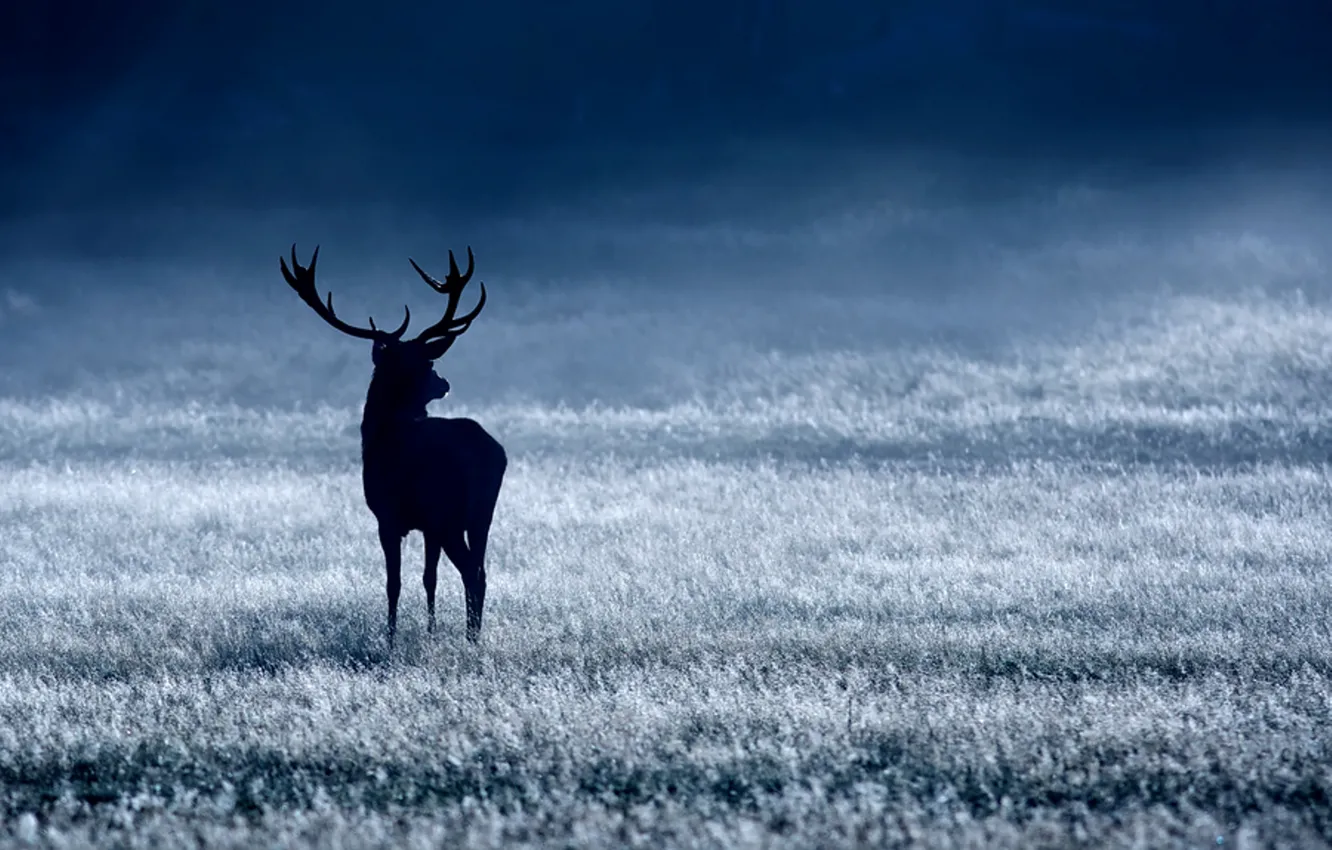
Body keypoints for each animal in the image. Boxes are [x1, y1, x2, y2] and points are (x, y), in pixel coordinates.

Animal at [280, 244, 506, 646]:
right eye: (426, 364)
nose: (444, 383)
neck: (379, 434)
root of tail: (491, 454)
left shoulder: (388, 516)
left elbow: (393, 583)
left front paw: (390, 636)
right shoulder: (427, 526)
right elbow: (429, 579)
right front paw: (430, 630)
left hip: (448, 513)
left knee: (471, 572)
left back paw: (471, 638)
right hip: (482, 514)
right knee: (481, 570)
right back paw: (474, 633)